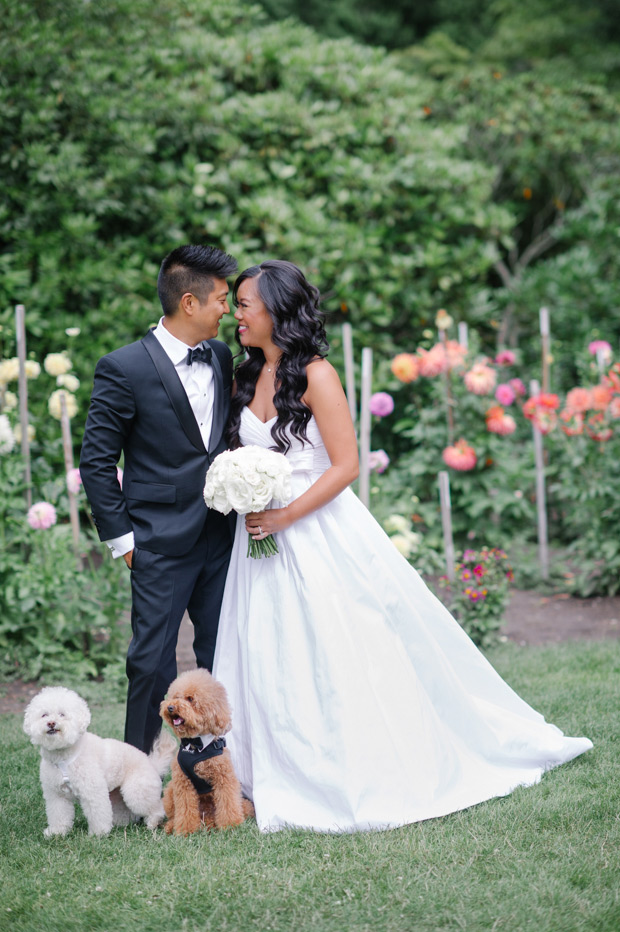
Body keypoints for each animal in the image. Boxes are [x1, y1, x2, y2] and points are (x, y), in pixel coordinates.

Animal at [23, 684, 176, 836]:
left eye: (62, 714)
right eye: (44, 714)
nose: (51, 723)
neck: (63, 755)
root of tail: (153, 764)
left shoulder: (93, 791)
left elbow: (97, 813)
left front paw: (98, 834)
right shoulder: (56, 795)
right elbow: (58, 814)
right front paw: (57, 832)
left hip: (136, 791)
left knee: (156, 807)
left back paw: (153, 823)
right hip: (118, 795)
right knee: (125, 812)